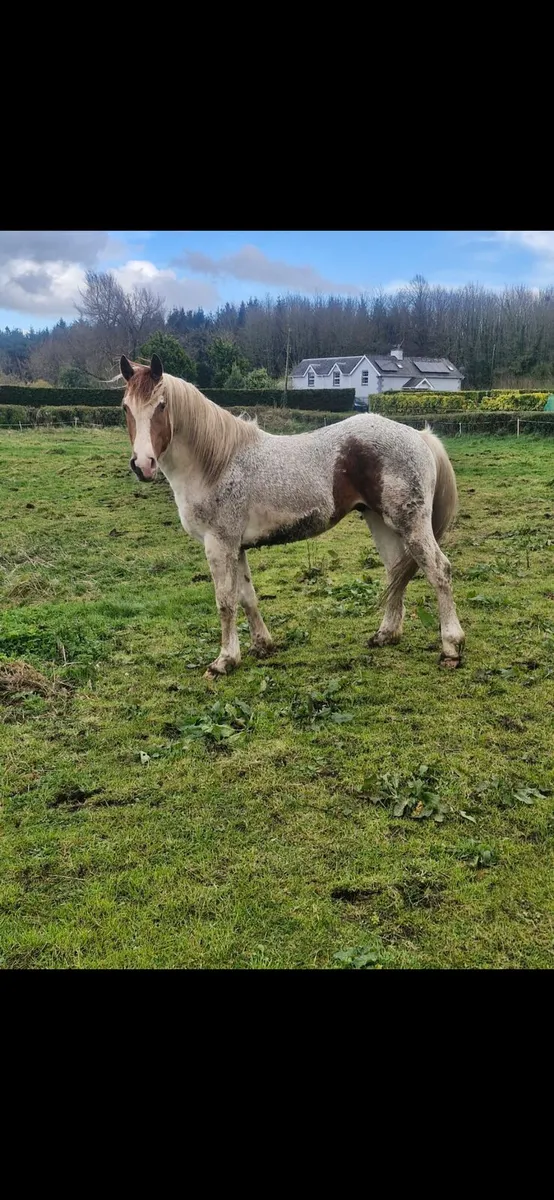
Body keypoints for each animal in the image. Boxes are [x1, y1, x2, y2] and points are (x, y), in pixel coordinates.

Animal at [119, 353, 465, 678]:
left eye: (161, 406)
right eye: (125, 407)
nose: (143, 464)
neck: (216, 463)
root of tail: (419, 436)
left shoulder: (219, 545)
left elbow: (225, 602)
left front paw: (224, 660)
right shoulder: (237, 548)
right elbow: (247, 597)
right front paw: (261, 645)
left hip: (411, 524)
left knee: (438, 571)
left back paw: (451, 647)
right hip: (380, 522)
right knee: (396, 572)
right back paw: (386, 634)